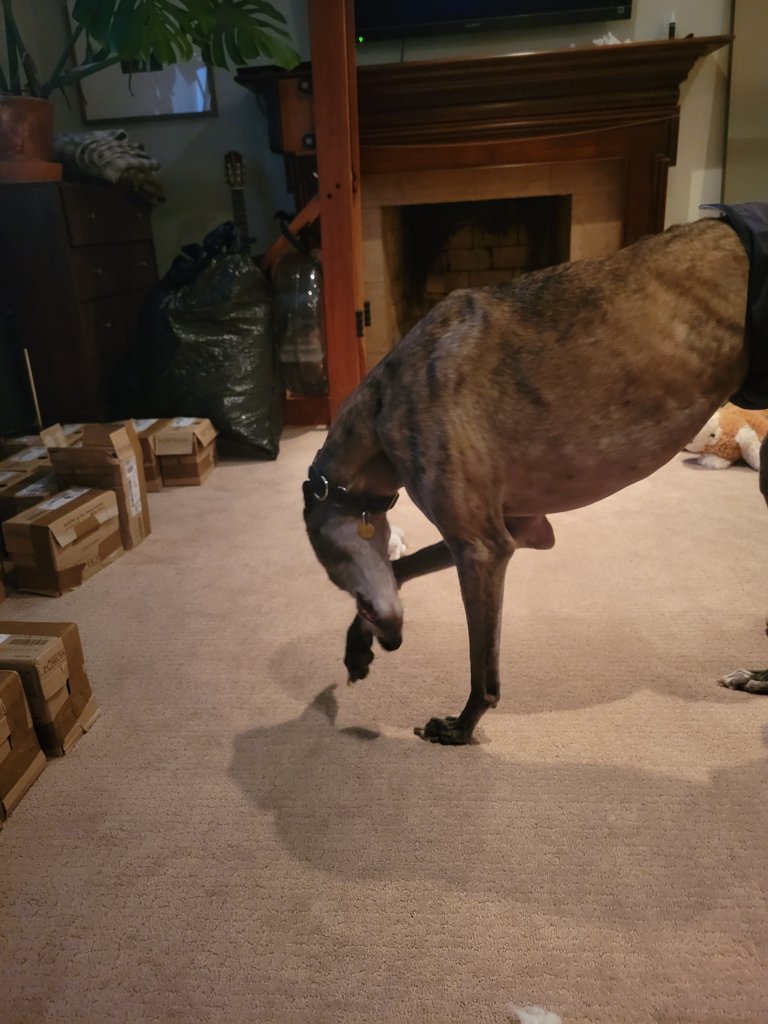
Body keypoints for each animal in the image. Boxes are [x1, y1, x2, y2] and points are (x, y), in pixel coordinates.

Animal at [303, 213, 768, 745]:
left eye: (334, 574)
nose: (394, 641)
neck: (382, 405)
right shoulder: (518, 529)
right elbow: (402, 568)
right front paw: (359, 646)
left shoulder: (482, 549)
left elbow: (482, 670)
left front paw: (460, 727)